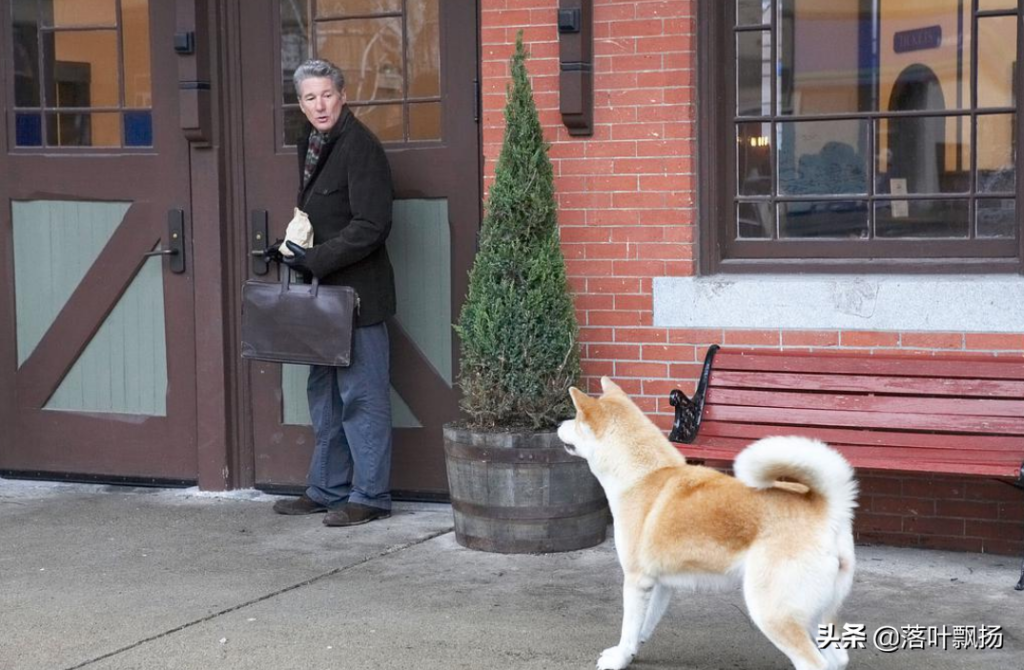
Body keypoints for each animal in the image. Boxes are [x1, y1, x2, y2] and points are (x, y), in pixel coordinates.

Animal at [557, 377, 860, 670]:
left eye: (575, 419)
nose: (558, 425)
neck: (644, 475)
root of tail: (828, 507)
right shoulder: (659, 584)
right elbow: (642, 627)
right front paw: (630, 653)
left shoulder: (636, 580)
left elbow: (628, 629)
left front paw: (618, 659)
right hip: (814, 614)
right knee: (838, 659)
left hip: (772, 612)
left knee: (814, 662)